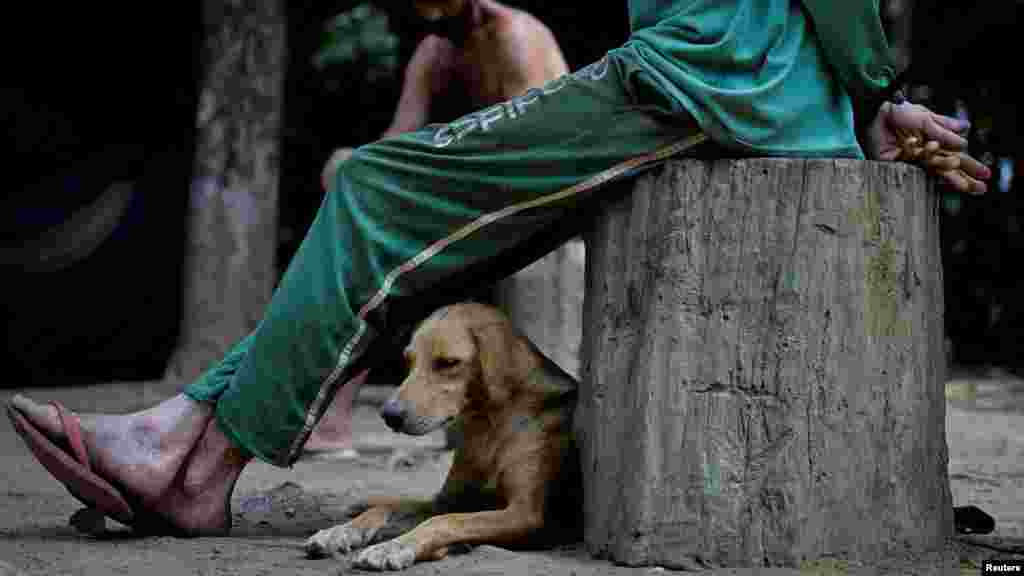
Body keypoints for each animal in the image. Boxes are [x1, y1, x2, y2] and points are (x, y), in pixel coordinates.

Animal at [303, 303, 581, 565]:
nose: (389, 415)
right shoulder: (446, 501)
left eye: (448, 363)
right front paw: (340, 532)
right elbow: (387, 508)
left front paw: (395, 547)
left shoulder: (526, 514)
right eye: (409, 361)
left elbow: (446, 521)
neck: (490, 423)